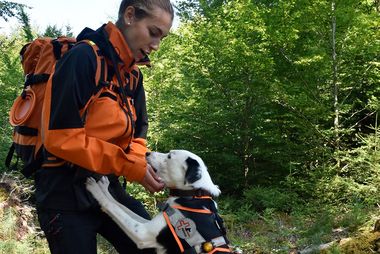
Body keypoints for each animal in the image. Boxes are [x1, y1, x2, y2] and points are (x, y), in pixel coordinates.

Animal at [85, 150, 232, 253]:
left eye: (169, 156)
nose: (147, 152)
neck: (193, 195)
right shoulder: (147, 223)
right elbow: (119, 205)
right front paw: (103, 188)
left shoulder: (143, 233)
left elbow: (112, 206)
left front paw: (96, 190)